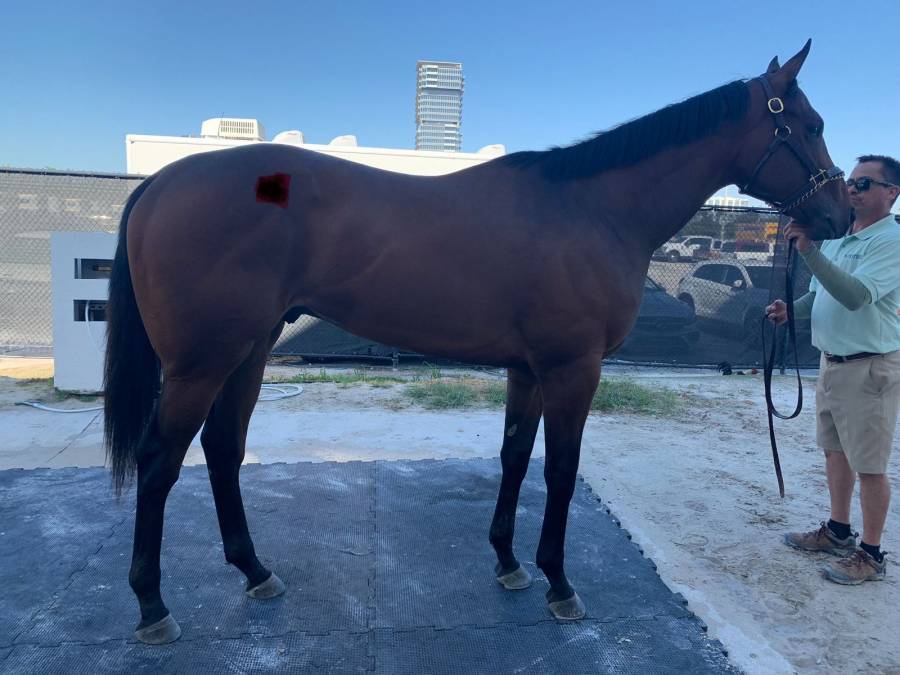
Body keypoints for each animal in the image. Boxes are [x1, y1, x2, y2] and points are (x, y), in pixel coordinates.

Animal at [104, 41, 849, 644]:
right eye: (810, 125)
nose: (839, 213)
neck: (593, 209)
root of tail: (161, 183)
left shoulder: (528, 369)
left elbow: (515, 456)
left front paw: (510, 562)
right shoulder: (572, 369)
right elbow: (560, 469)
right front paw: (559, 583)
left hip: (248, 351)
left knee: (223, 450)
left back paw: (256, 570)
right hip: (200, 363)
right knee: (160, 461)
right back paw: (152, 606)